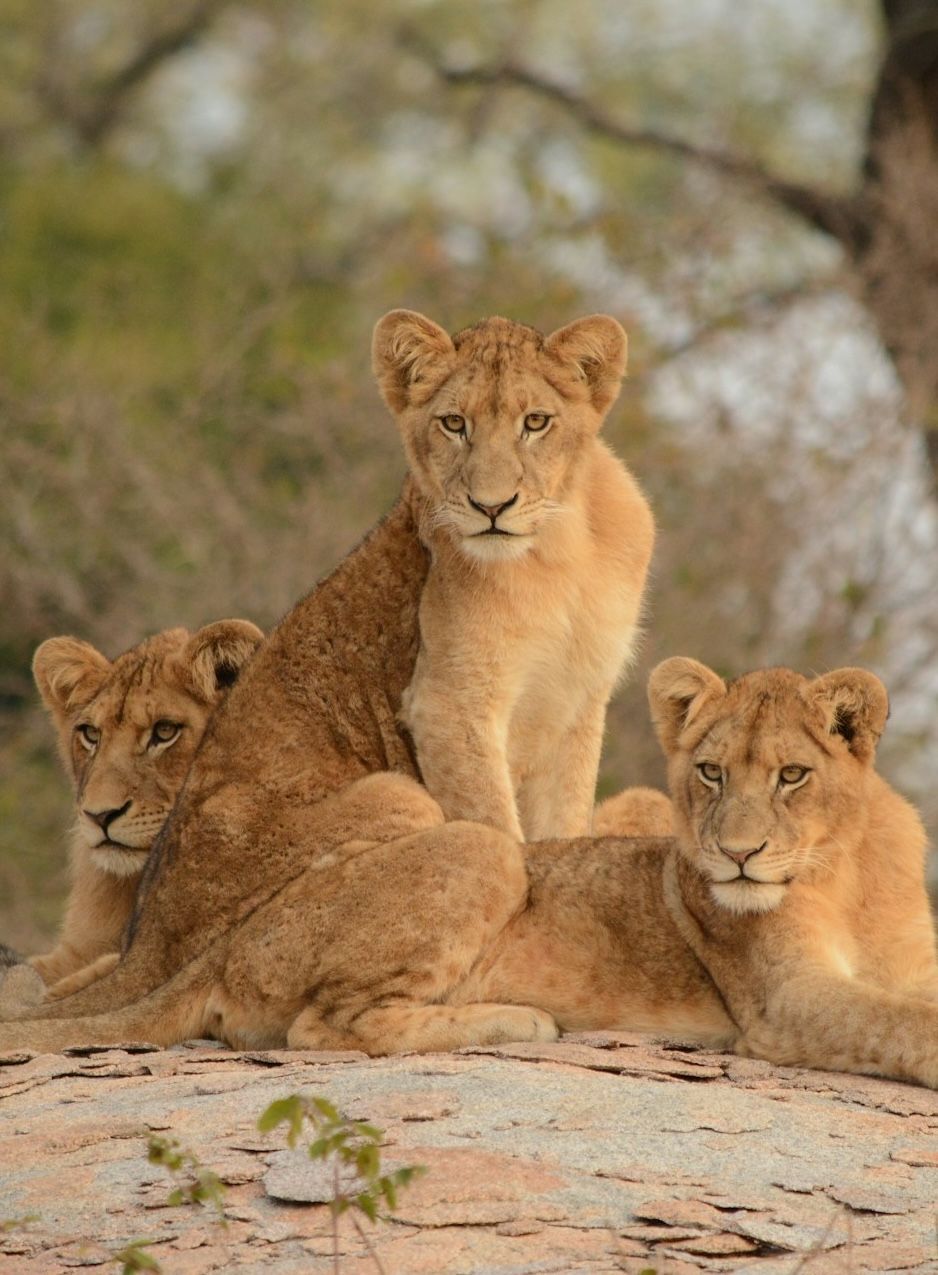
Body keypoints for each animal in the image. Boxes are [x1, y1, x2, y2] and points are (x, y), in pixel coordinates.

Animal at [374, 310, 654, 840]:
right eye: (454, 423)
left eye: (536, 422)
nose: (491, 506)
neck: (557, 556)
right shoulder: (447, 705)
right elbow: (495, 825)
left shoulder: (579, 703)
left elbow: (562, 822)